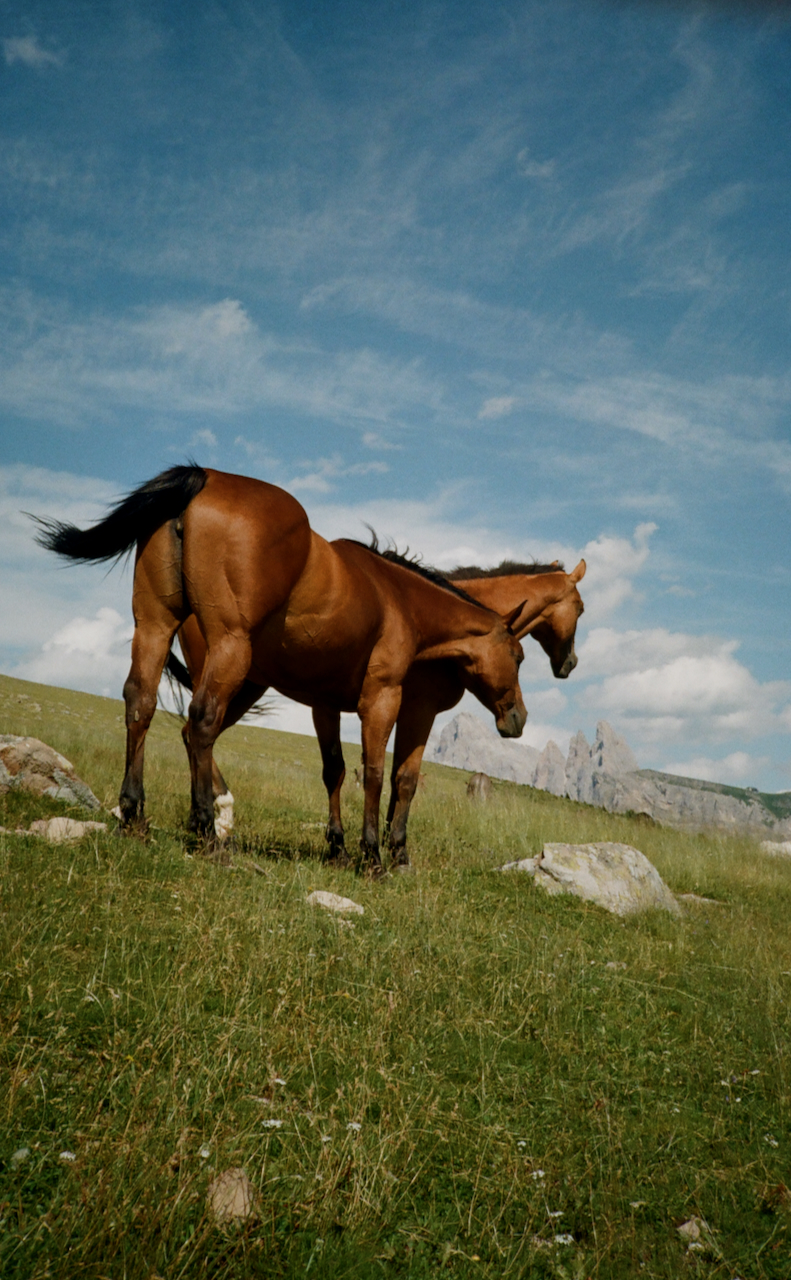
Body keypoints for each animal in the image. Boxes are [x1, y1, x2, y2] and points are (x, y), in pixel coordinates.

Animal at [35, 465, 527, 876]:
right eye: (519, 656)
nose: (518, 719)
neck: (398, 599)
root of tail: (204, 476)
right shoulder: (383, 699)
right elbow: (374, 772)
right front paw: (372, 858)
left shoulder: (324, 706)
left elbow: (335, 771)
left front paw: (338, 849)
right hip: (232, 654)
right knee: (201, 721)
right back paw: (206, 830)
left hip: (157, 628)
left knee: (143, 704)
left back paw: (135, 817)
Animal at [168, 554, 585, 866]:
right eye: (580, 608)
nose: (570, 664)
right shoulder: (417, 709)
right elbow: (402, 779)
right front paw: (393, 851)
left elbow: (383, 778)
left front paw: (379, 844)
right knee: (200, 732)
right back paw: (216, 817)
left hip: (246, 687)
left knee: (192, 734)